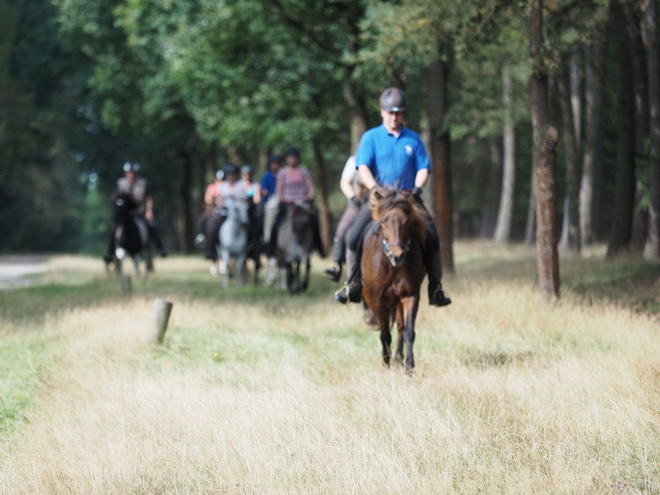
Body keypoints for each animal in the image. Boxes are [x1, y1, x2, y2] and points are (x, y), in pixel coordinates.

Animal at [360, 188, 428, 374]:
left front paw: (409, 367)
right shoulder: (378, 300)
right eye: (384, 221)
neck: (392, 267)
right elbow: (384, 334)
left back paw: (398, 358)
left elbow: (409, 331)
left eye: (407, 221)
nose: (397, 256)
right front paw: (385, 364)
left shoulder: (410, 295)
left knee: (400, 326)